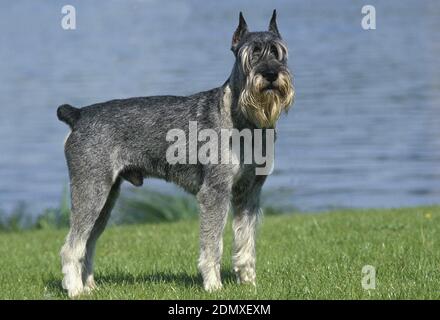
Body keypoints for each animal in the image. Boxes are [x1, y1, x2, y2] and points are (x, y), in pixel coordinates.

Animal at [56, 9, 294, 298]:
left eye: (278, 52)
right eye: (251, 54)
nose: (271, 74)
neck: (244, 120)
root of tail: (78, 114)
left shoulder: (249, 193)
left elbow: (245, 241)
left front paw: (249, 282)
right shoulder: (215, 192)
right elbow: (212, 245)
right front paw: (213, 285)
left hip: (106, 197)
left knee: (88, 243)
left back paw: (89, 286)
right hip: (90, 191)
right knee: (72, 246)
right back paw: (75, 290)